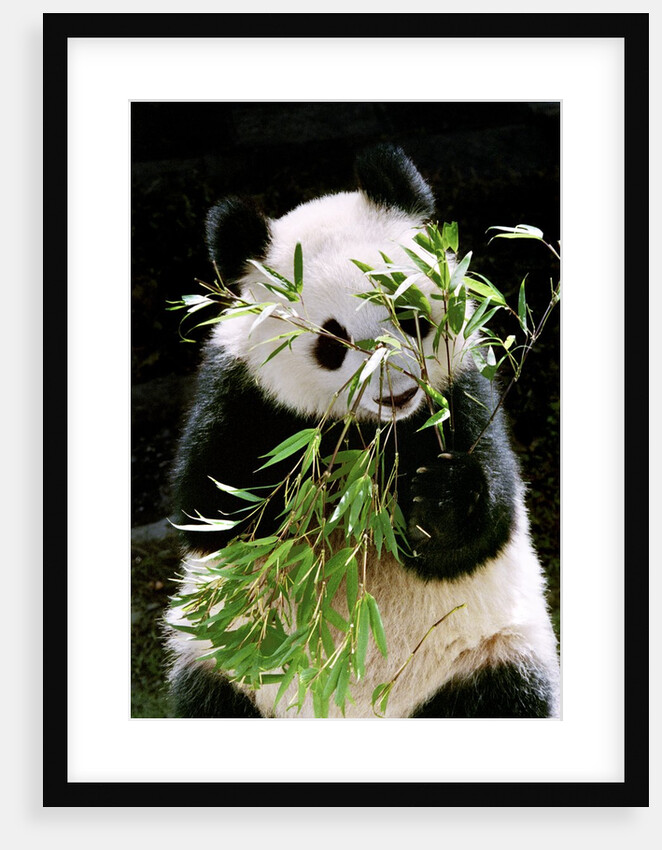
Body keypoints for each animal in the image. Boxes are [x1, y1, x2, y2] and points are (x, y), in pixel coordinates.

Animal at [165, 144, 560, 719]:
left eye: (409, 313)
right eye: (332, 342)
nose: (396, 391)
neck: (370, 432)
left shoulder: (461, 390)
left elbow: (486, 524)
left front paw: (437, 496)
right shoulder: (239, 393)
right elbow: (216, 515)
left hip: (486, 657)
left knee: (507, 696)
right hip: (225, 667)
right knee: (209, 695)